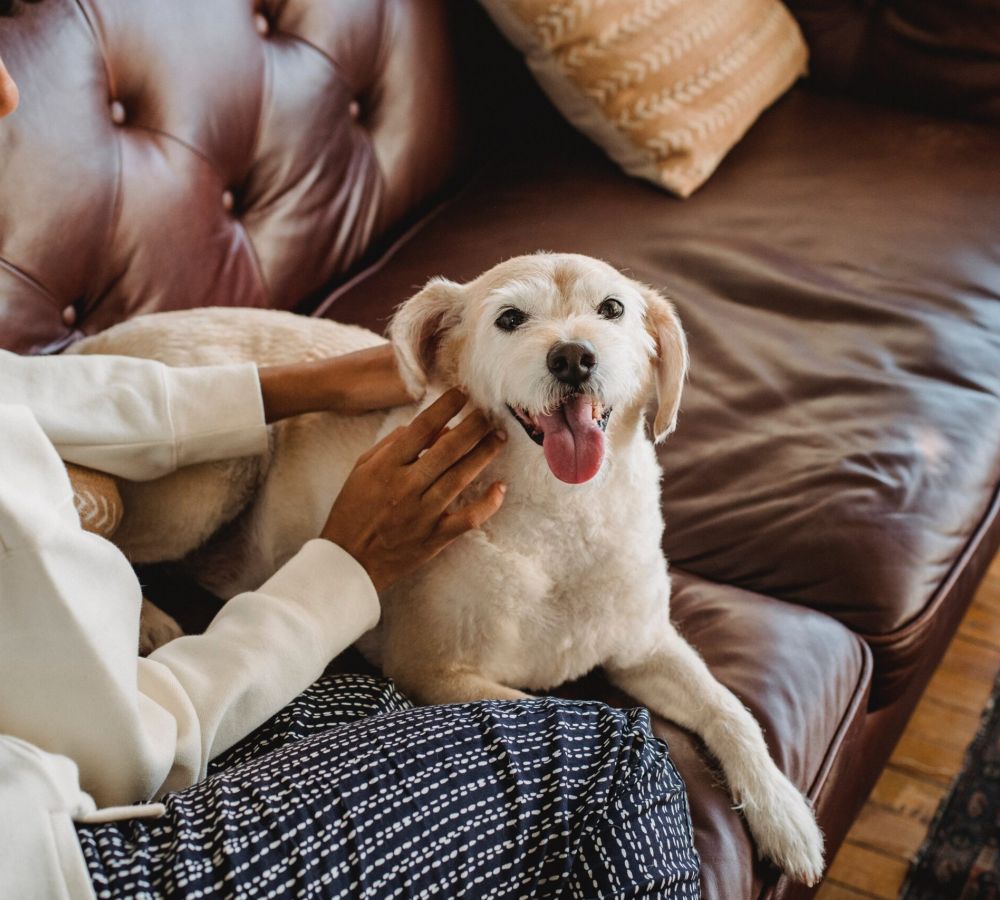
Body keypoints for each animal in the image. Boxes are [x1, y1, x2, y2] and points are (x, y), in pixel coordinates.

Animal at [74, 250, 824, 884]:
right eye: (511, 318)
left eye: (612, 308)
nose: (574, 357)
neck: (562, 517)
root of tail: (91, 343)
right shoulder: (435, 673)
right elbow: (553, 705)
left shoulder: (643, 644)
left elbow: (730, 710)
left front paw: (786, 817)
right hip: (214, 475)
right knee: (111, 539)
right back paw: (146, 620)